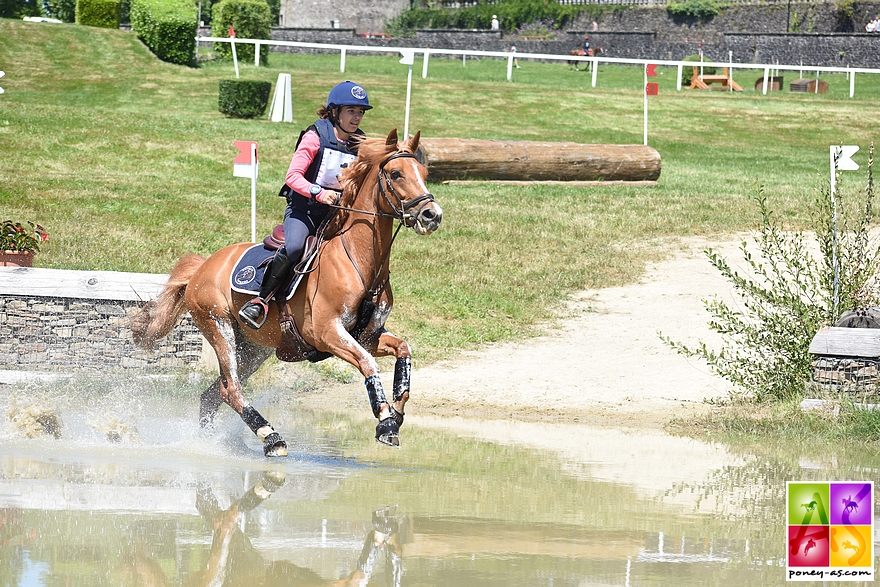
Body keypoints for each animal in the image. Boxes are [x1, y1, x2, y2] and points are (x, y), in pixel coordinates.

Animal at [130, 131, 440, 458]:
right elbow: (368, 363)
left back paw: (212, 442)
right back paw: (271, 437)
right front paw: (385, 421)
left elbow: (403, 350)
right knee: (231, 388)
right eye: (396, 174)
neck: (359, 261)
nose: (432, 215)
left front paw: (397, 413)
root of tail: (203, 267)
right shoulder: (327, 333)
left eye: (424, 173)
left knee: (215, 393)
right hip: (218, 325)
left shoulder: (367, 335)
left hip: (253, 348)